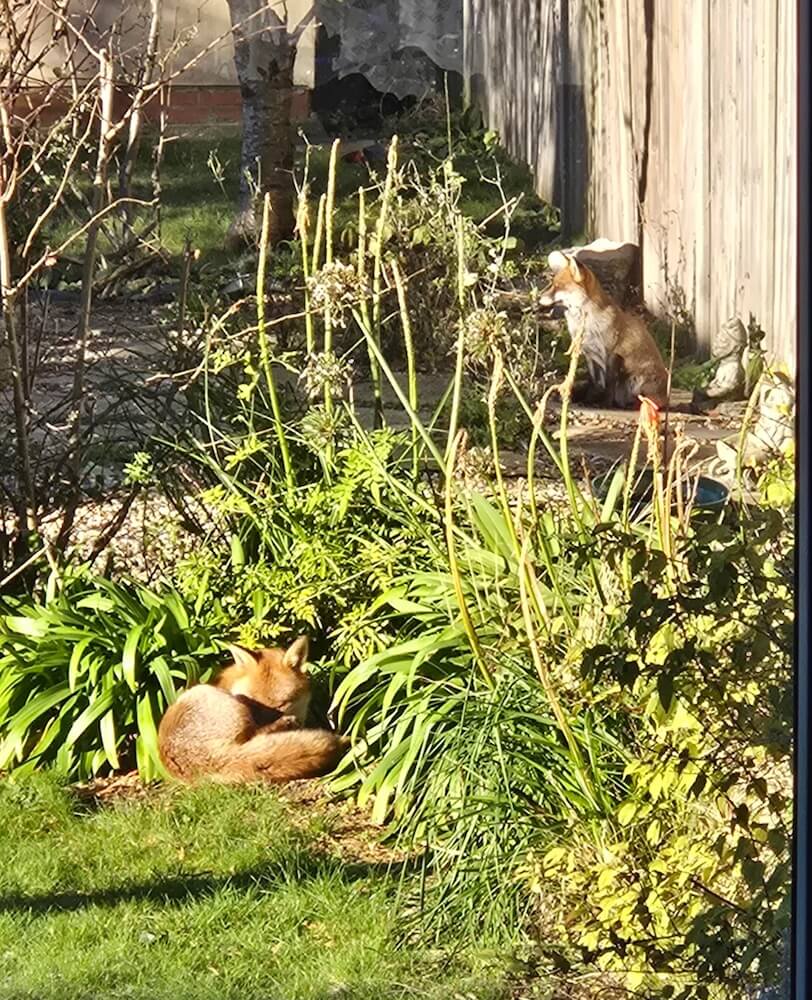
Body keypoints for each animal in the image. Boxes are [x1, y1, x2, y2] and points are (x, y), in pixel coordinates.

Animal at [539, 253, 669, 409]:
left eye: (558, 287)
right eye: (552, 284)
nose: (538, 297)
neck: (587, 325)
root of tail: (666, 395)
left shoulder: (612, 353)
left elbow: (609, 384)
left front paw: (605, 404)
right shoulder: (589, 354)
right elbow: (593, 383)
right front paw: (588, 401)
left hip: (636, 381)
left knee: (647, 401)